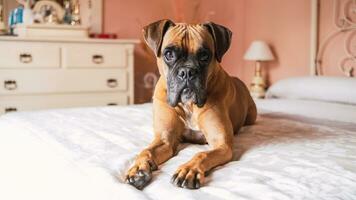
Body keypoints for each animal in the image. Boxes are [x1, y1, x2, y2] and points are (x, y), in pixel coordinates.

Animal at [125, 19, 256, 190]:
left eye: (204, 56)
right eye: (169, 54)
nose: (187, 72)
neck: (189, 105)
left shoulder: (221, 144)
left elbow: (202, 153)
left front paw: (189, 170)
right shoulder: (165, 139)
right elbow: (146, 151)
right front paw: (138, 168)